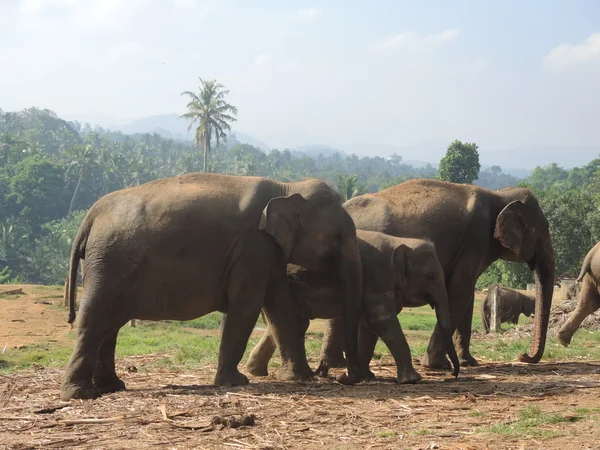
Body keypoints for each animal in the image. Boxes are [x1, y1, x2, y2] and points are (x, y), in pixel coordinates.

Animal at [61, 172, 364, 400]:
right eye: (337, 236)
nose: (342, 377)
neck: (288, 187)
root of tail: (90, 217)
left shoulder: (270, 251)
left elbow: (279, 305)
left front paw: (301, 377)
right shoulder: (252, 247)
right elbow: (247, 304)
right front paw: (235, 382)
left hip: (109, 265)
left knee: (109, 326)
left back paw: (112, 387)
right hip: (110, 263)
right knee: (96, 320)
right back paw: (81, 394)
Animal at [244, 232, 460, 384]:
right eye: (430, 276)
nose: (453, 374)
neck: (397, 241)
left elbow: (368, 327)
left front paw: (368, 377)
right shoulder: (375, 277)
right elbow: (379, 319)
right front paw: (411, 380)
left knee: (293, 323)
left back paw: (257, 371)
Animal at [318, 178, 556, 370]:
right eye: (544, 230)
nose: (523, 356)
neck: (499, 194)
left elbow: (467, 295)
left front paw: (469, 362)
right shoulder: (475, 239)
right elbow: (459, 291)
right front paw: (438, 365)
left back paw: (334, 365)